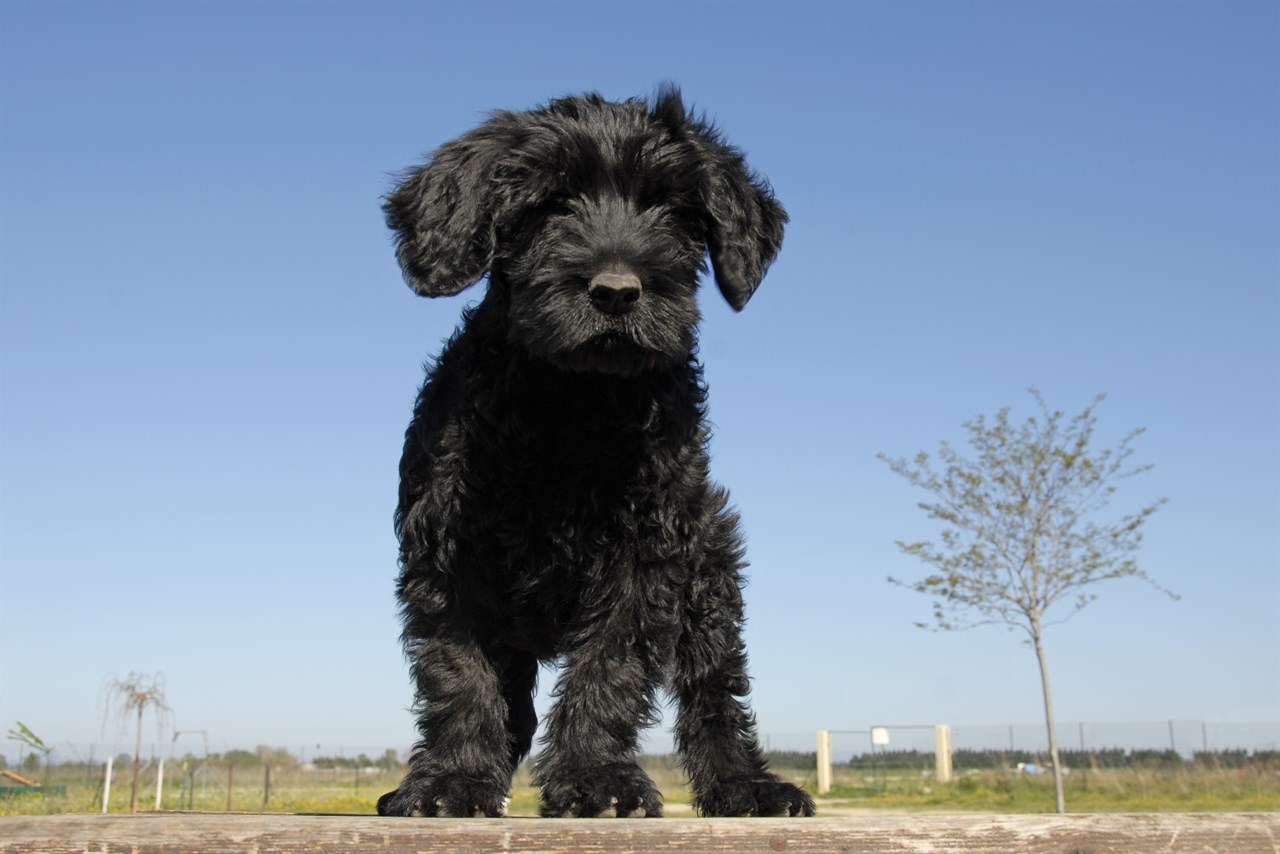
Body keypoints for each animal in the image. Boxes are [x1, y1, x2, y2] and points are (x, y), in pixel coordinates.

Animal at [373, 88, 814, 819]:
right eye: (550, 204)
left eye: (670, 208)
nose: (616, 291)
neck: (573, 404)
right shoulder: (449, 554)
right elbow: (459, 674)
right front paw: (453, 781)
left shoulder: (647, 555)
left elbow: (610, 668)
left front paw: (596, 779)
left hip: (711, 569)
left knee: (715, 692)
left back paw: (745, 785)